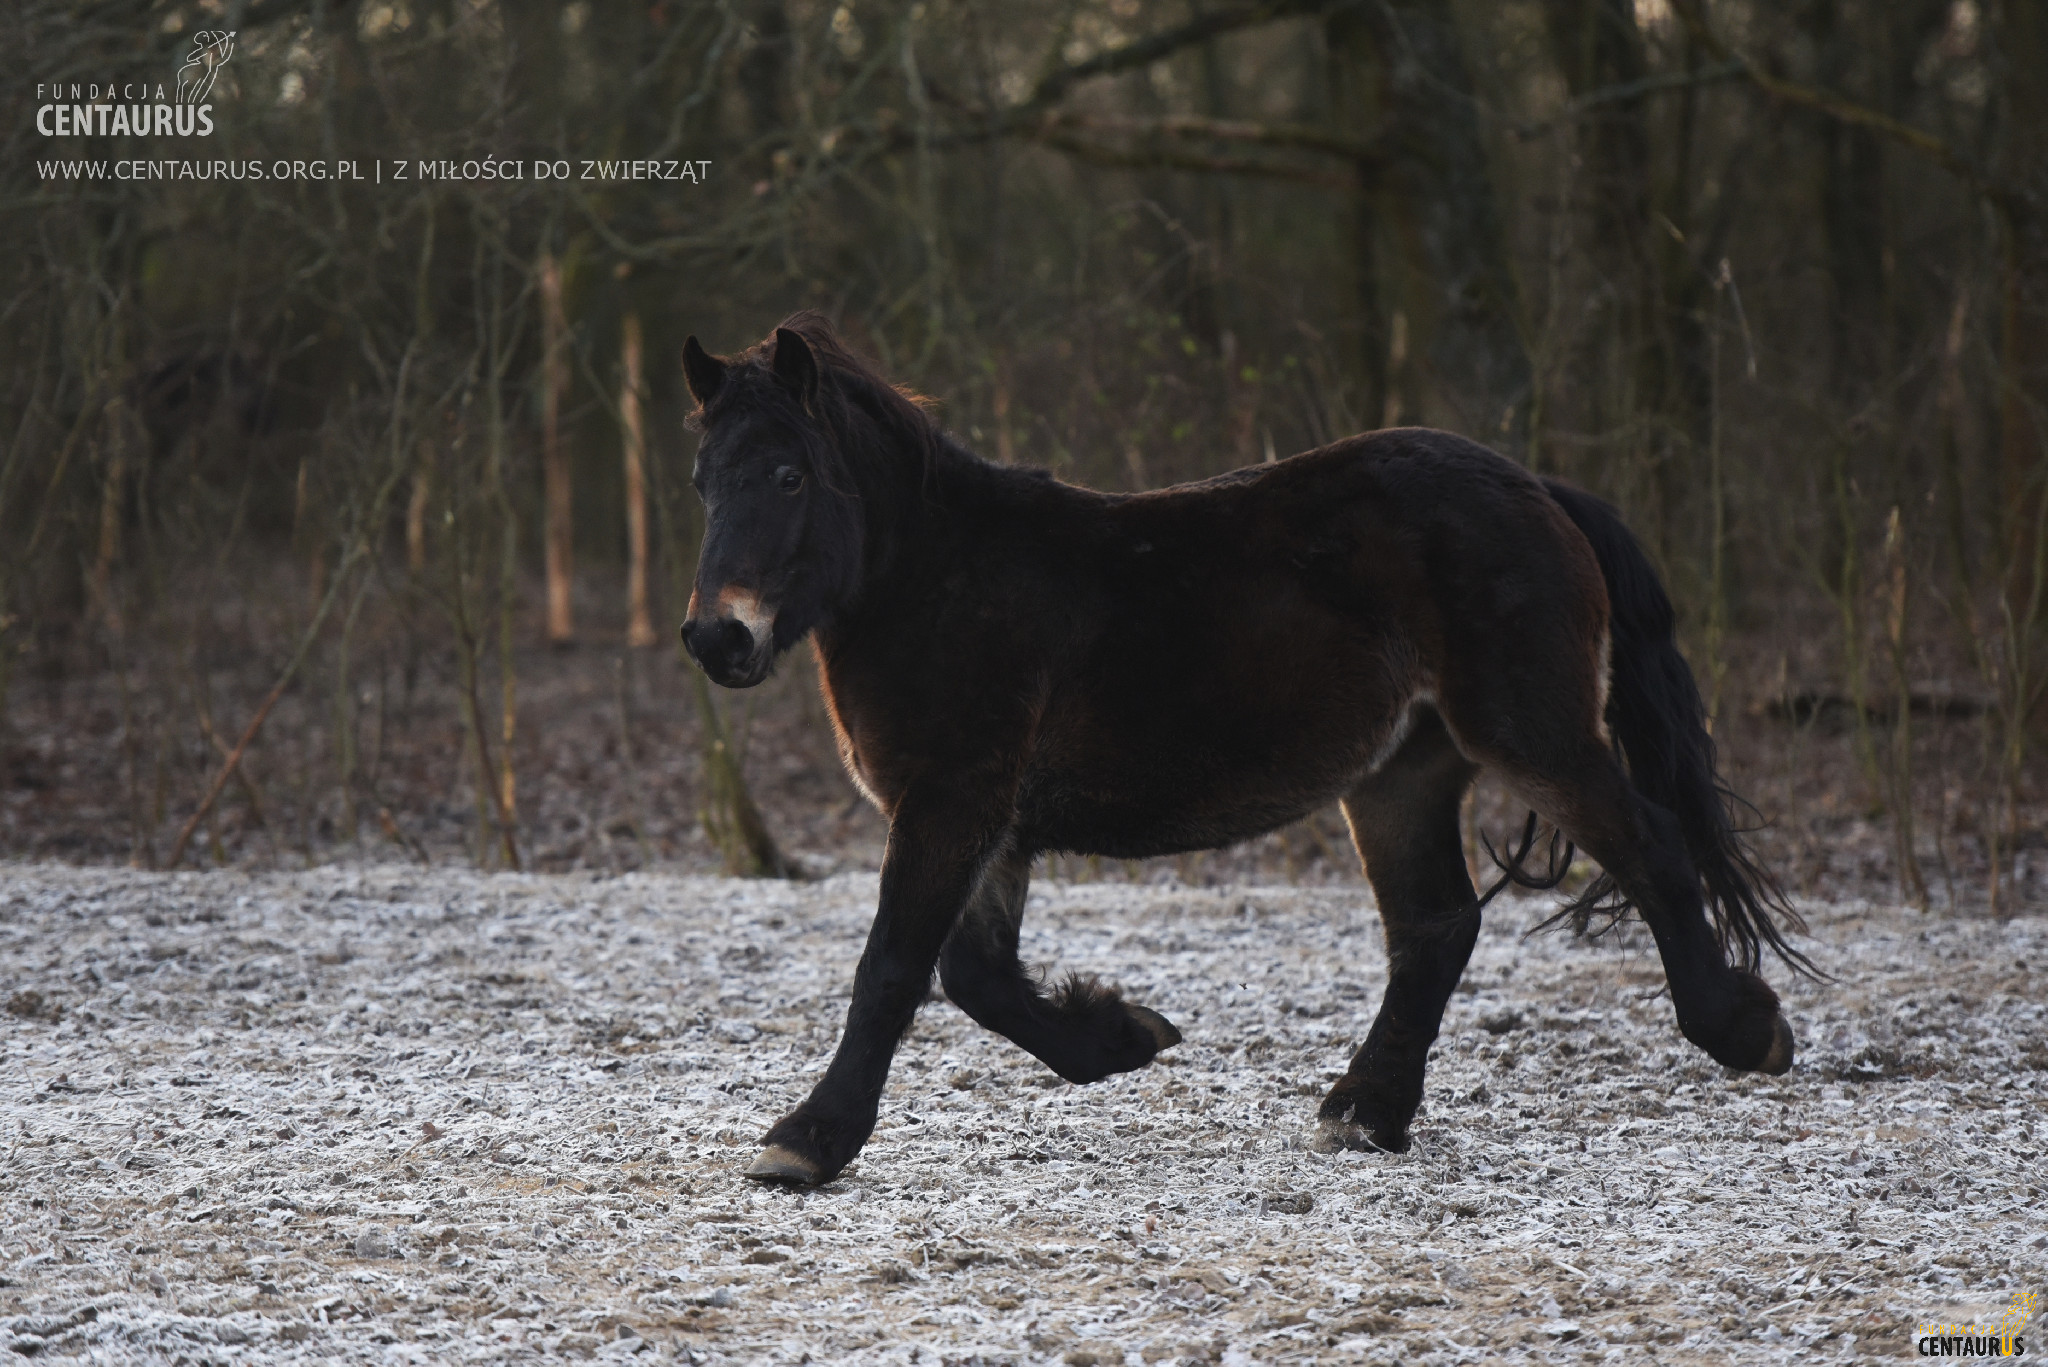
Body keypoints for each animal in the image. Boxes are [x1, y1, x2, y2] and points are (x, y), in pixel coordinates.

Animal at [675, 309, 1810, 1188]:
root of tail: (1538, 489)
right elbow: (976, 975)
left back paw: (1744, 1028)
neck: (938, 581)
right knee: (1434, 926)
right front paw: (1121, 1036)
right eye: (701, 482)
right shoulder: (987, 821)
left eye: (788, 473)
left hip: (1533, 735)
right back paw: (1363, 1111)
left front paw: (806, 1141)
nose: (716, 636)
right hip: (1399, 773)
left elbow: (894, 968)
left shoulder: (953, 803)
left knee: (1649, 846)